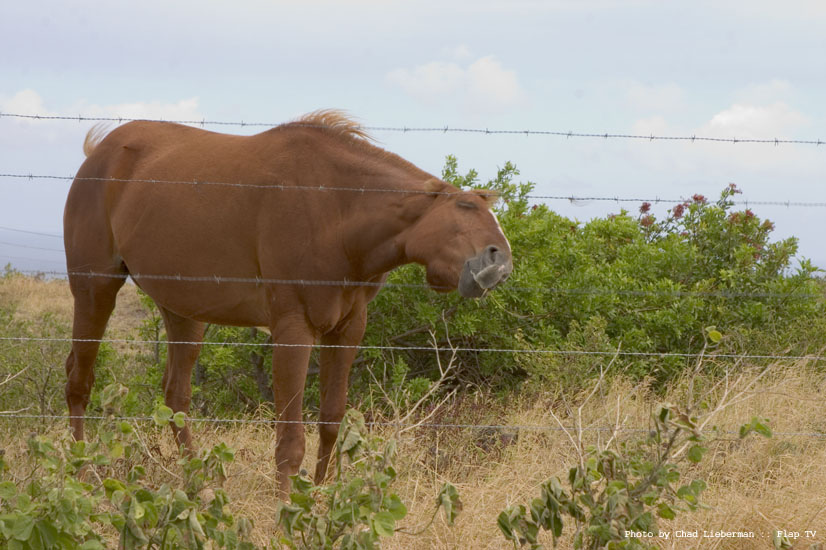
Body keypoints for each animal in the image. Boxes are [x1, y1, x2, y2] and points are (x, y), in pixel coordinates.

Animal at [62, 110, 508, 498]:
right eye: (463, 210)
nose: (500, 261)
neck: (335, 208)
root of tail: (98, 154)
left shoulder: (347, 328)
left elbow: (330, 422)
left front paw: (321, 495)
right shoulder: (294, 330)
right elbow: (290, 437)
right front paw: (286, 509)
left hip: (183, 312)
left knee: (176, 397)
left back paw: (198, 483)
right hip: (94, 291)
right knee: (79, 383)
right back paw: (80, 474)